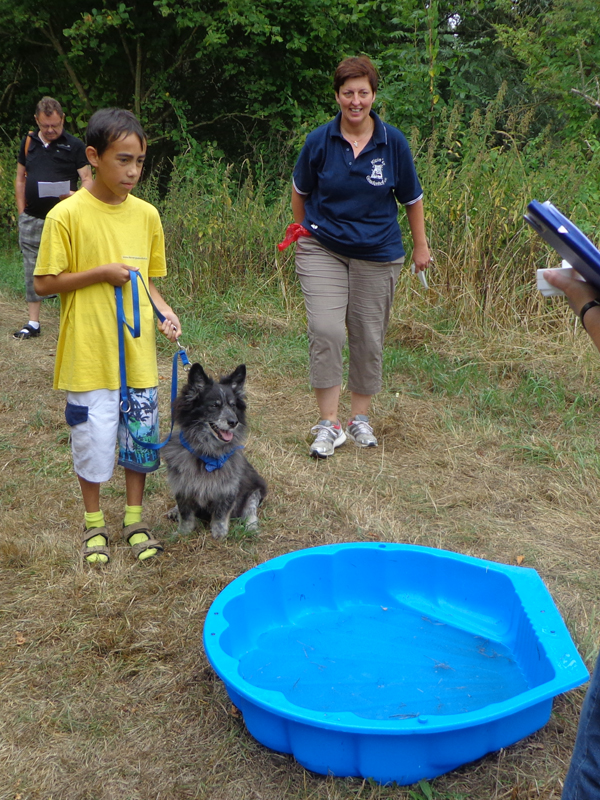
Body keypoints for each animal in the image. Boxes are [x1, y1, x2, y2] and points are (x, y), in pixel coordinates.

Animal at [163, 362, 267, 540]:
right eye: (214, 405)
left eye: (233, 405)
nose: (233, 422)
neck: (207, 452)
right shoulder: (183, 487)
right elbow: (186, 515)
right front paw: (182, 533)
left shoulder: (227, 490)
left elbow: (220, 515)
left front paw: (219, 535)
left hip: (256, 490)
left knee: (250, 511)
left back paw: (251, 527)